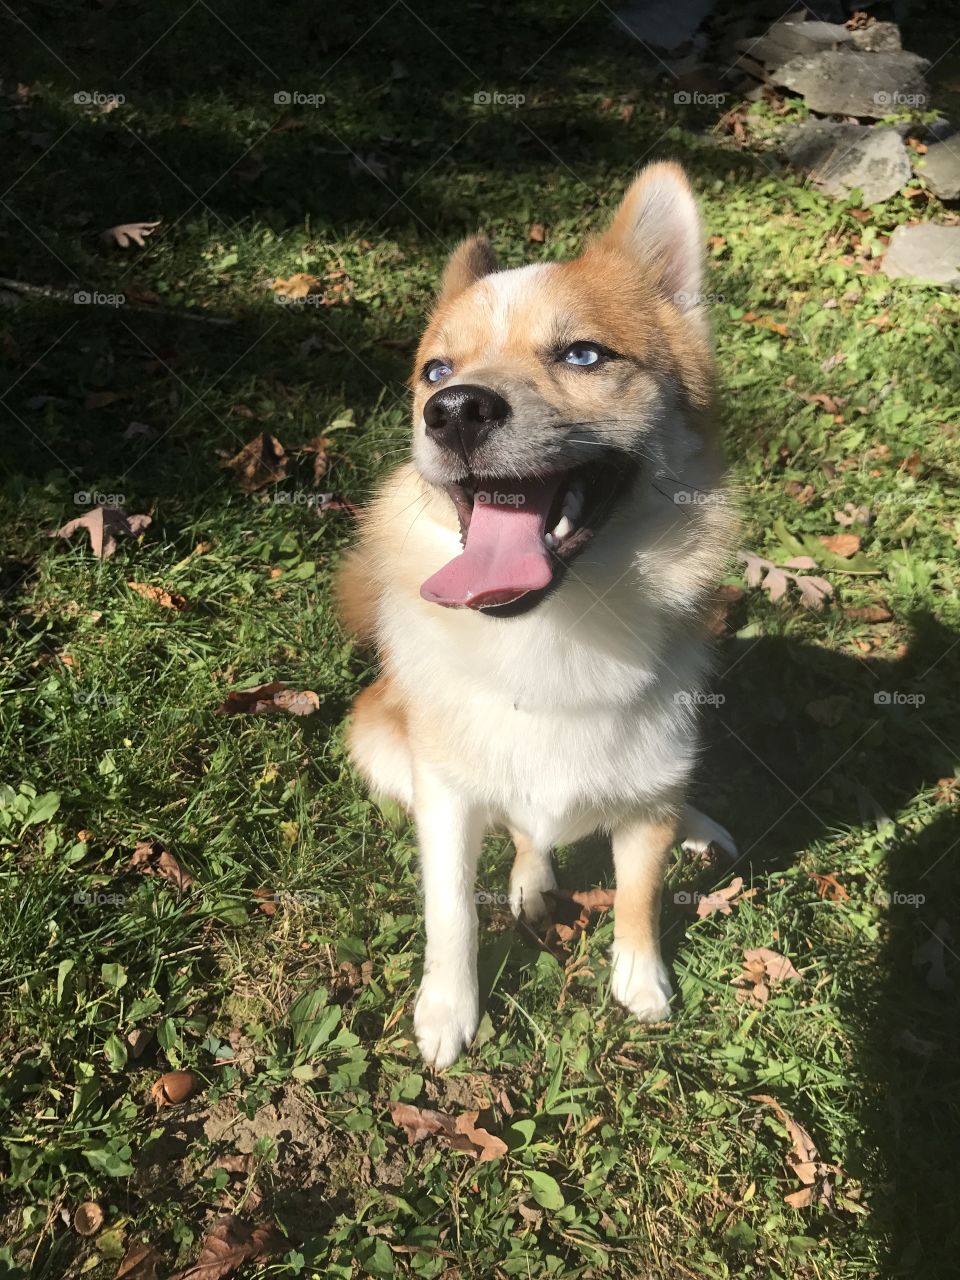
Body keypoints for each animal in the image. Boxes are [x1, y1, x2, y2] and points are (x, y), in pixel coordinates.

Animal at [337, 162, 737, 1070]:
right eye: (435, 371)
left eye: (583, 355)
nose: (454, 411)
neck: (552, 638)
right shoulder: (448, 799)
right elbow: (451, 908)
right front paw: (447, 1010)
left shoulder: (648, 794)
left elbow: (640, 892)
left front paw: (641, 979)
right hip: (378, 738)